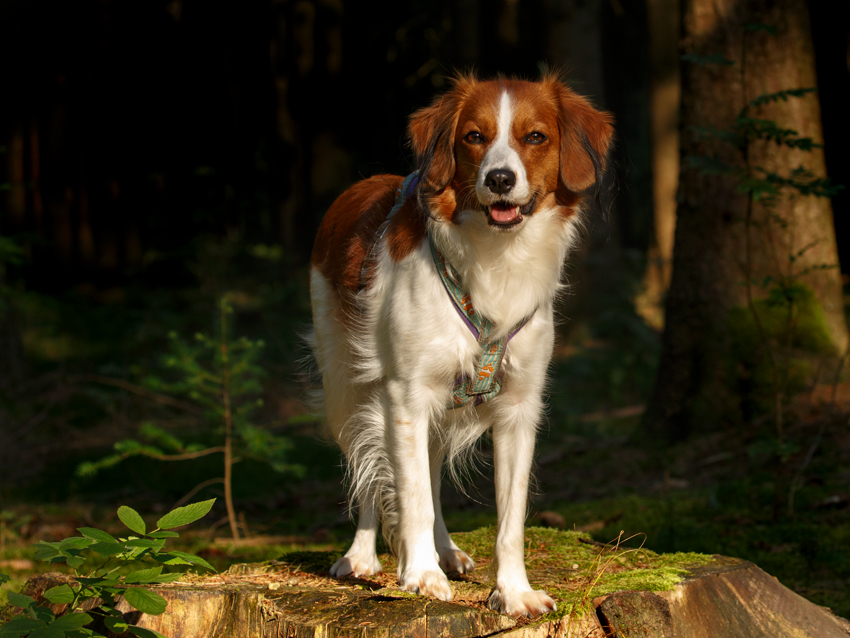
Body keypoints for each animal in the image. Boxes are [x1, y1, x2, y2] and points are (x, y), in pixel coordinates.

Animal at [308, 75, 612, 620]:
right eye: (474, 136)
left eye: (535, 137)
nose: (499, 179)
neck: (496, 259)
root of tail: (360, 185)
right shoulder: (406, 397)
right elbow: (409, 494)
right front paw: (420, 575)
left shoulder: (518, 409)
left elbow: (508, 517)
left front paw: (512, 591)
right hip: (347, 392)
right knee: (371, 474)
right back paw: (363, 557)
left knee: (426, 473)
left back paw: (444, 550)